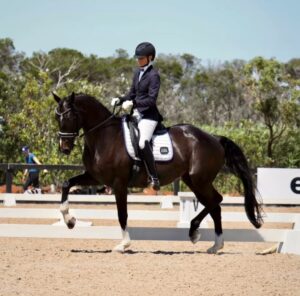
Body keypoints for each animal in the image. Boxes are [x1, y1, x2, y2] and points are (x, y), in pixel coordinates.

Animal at [53, 92, 262, 252]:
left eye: (69, 117)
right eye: (57, 117)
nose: (64, 148)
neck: (104, 137)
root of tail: (214, 138)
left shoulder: (119, 183)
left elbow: (122, 214)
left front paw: (124, 244)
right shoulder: (95, 177)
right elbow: (66, 184)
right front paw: (70, 221)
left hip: (200, 180)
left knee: (216, 201)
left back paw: (195, 232)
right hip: (193, 181)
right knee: (215, 204)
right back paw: (214, 245)